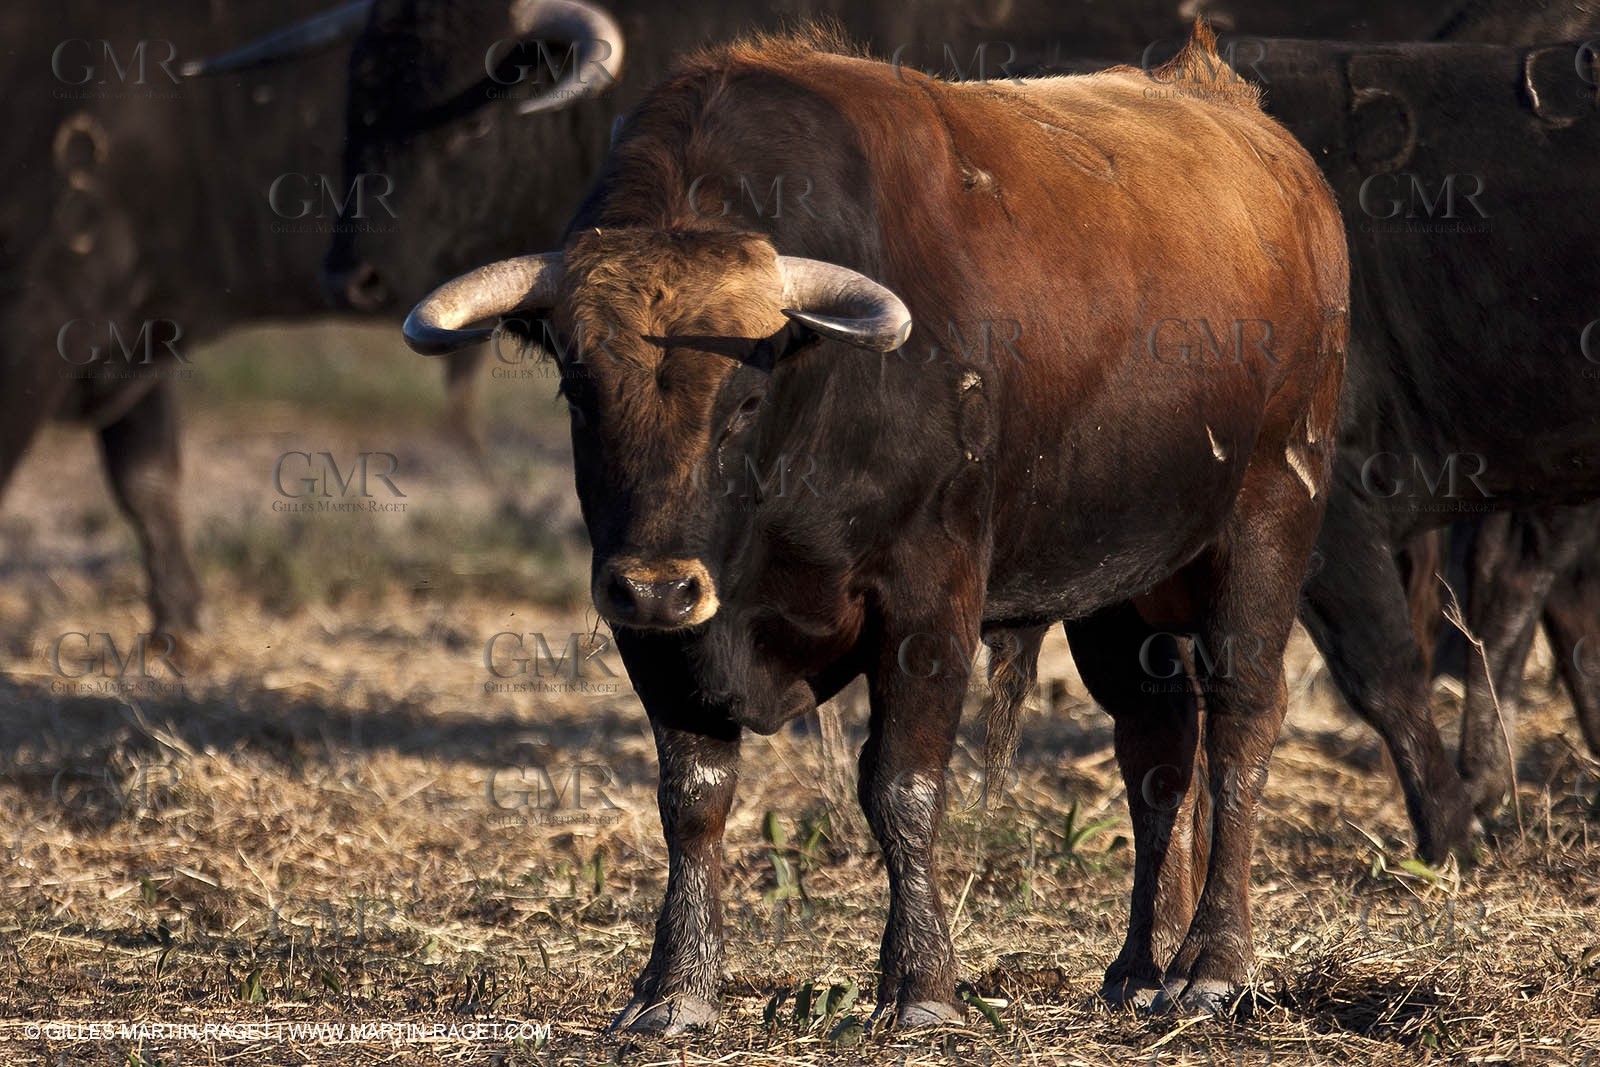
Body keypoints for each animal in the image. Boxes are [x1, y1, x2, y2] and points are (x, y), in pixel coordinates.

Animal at [401, 27, 1349, 1028]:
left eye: (743, 400)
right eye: (580, 392)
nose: (658, 585)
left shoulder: (931, 599)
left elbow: (902, 784)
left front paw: (922, 983)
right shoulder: (659, 631)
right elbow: (692, 793)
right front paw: (675, 985)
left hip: (1266, 523)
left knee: (1240, 726)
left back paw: (1211, 963)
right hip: (1122, 586)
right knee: (1156, 749)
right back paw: (1139, 965)